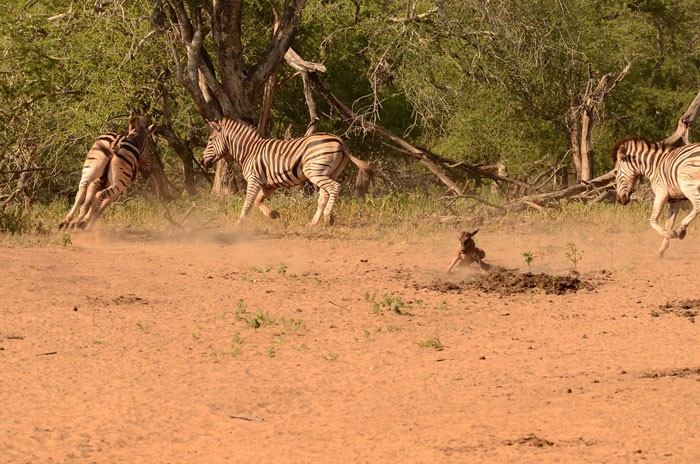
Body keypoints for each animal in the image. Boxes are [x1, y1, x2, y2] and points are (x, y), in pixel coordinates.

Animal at [200, 117, 374, 224]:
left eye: (210, 140)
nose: (201, 161)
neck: (249, 151)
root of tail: (341, 142)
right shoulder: (270, 185)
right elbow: (257, 201)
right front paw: (273, 215)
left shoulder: (254, 179)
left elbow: (248, 203)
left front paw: (239, 223)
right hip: (329, 172)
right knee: (325, 195)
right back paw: (314, 222)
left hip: (315, 172)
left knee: (335, 187)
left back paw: (327, 218)